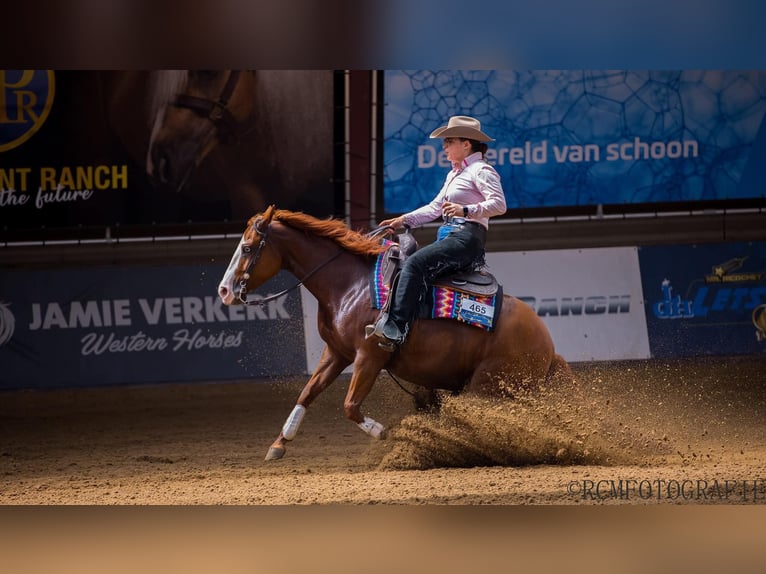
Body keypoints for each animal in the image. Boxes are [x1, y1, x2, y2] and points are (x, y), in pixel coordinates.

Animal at [217, 206, 575, 461]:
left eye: (247, 248)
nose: (224, 291)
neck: (349, 284)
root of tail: (547, 344)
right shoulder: (337, 352)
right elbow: (307, 392)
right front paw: (279, 443)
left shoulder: (370, 356)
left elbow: (350, 405)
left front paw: (386, 434)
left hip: (490, 387)